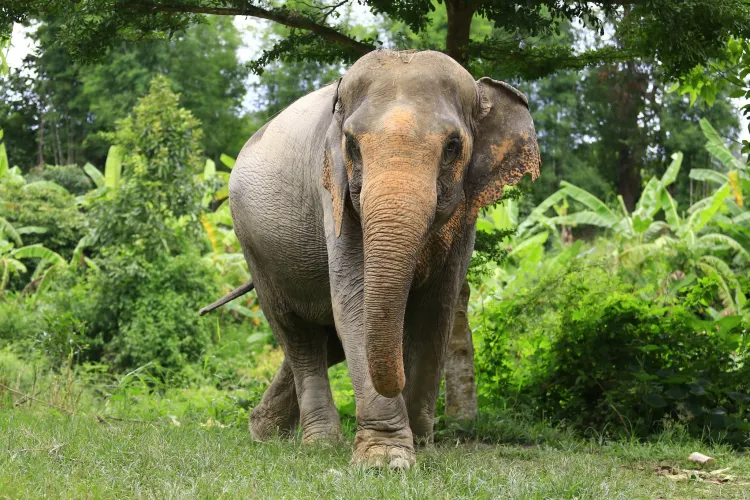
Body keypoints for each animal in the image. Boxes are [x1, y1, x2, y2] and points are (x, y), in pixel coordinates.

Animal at [220, 49, 540, 468]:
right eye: (352, 145)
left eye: (453, 146)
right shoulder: (334, 193)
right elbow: (355, 303)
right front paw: (385, 458)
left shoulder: (466, 214)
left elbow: (436, 310)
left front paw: (420, 447)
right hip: (256, 249)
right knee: (297, 333)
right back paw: (318, 443)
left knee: (326, 340)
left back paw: (264, 431)